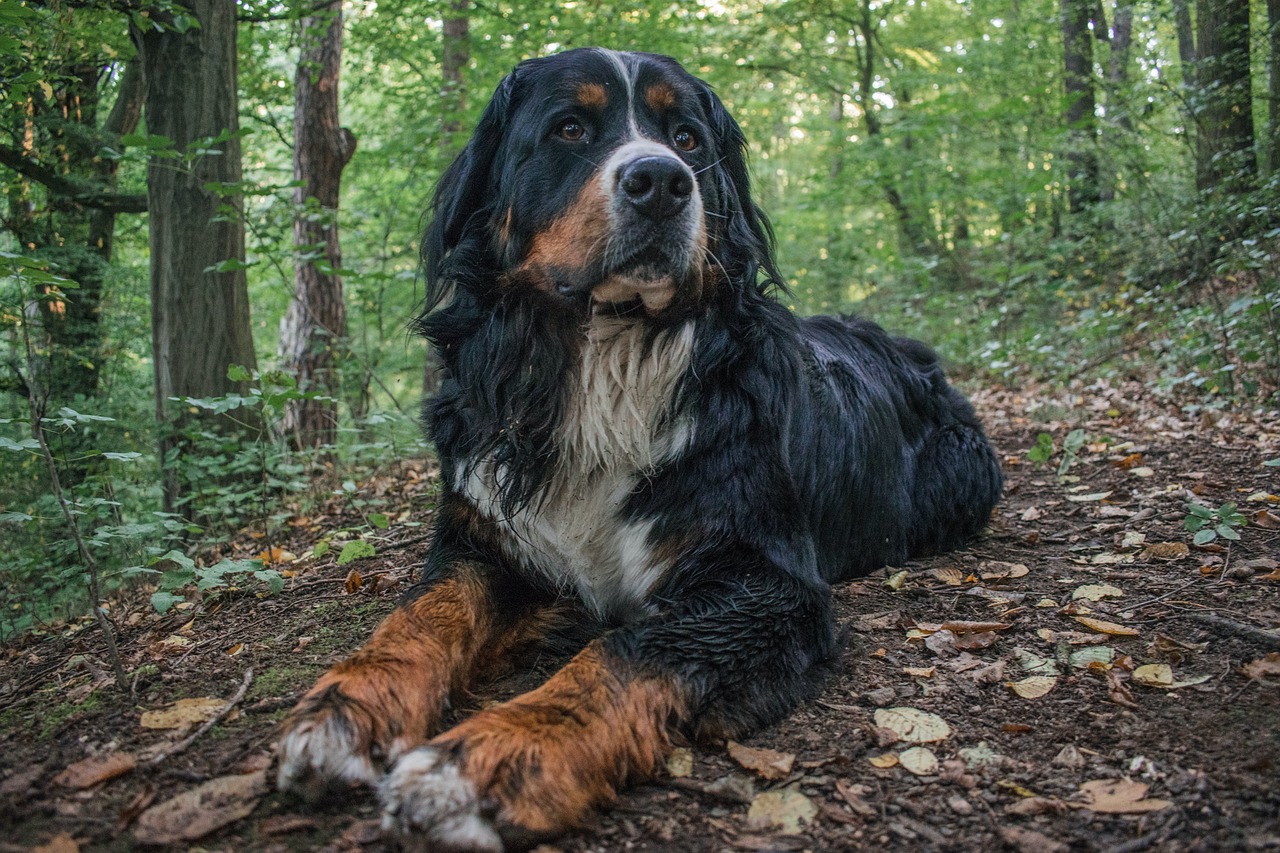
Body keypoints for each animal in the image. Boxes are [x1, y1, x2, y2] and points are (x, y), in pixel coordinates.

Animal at [275, 48, 1003, 850]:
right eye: (568, 128)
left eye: (687, 138)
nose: (661, 182)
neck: (605, 360)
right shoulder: (487, 539)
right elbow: (420, 612)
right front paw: (343, 706)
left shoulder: (765, 585)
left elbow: (625, 652)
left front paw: (485, 761)